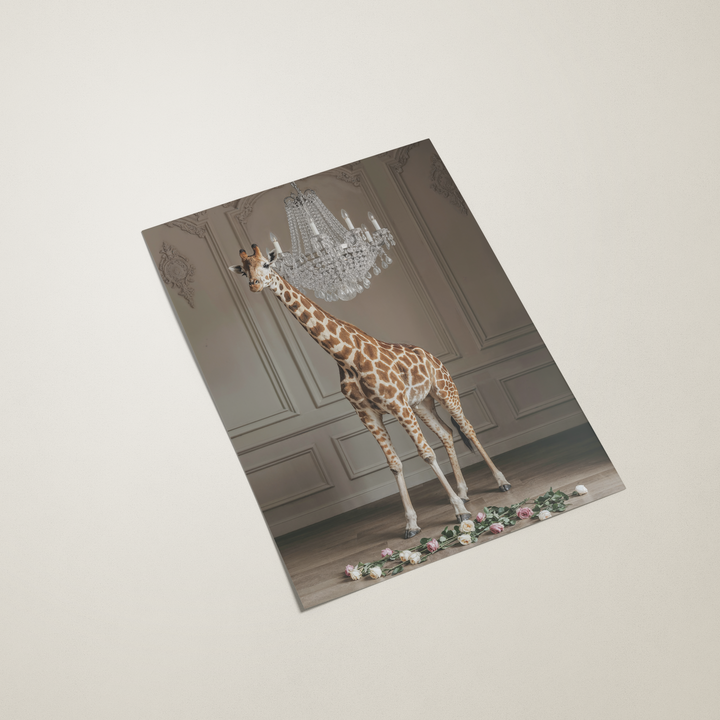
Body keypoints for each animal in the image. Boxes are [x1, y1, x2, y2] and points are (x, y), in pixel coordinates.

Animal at [229, 245, 510, 539]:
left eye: (266, 265)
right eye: (244, 271)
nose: (254, 284)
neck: (345, 357)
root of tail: (435, 357)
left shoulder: (397, 405)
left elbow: (426, 453)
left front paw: (458, 511)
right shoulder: (368, 416)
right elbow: (395, 464)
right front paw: (411, 524)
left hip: (445, 392)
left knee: (466, 427)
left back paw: (500, 482)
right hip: (422, 404)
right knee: (446, 433)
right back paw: (463, 492)